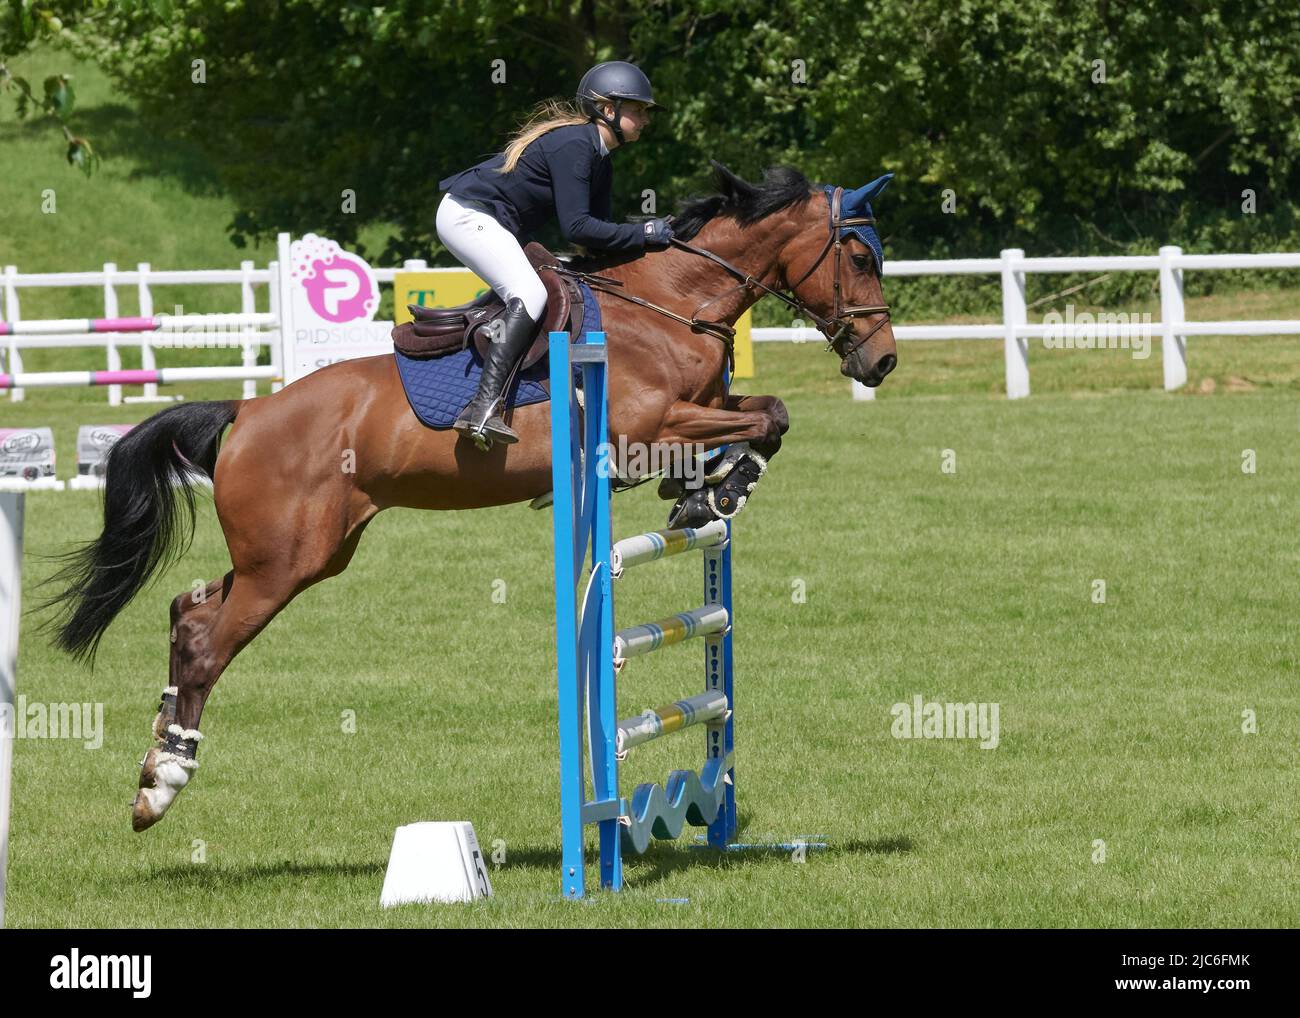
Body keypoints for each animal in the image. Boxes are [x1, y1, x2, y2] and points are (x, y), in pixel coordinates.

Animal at [38, 157, 894, 826]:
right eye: (857, 255)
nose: (881, 360)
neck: (668, 308)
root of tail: (247, 411)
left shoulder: (698, 411)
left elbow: (764, 415)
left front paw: (709, 490)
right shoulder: (640, 429)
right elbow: (768, 415)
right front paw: (719, 485)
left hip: (305, 552)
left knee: (190, 612)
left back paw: (157, 764)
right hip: (284, 561)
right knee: (210, 642)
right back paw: (165, 782)